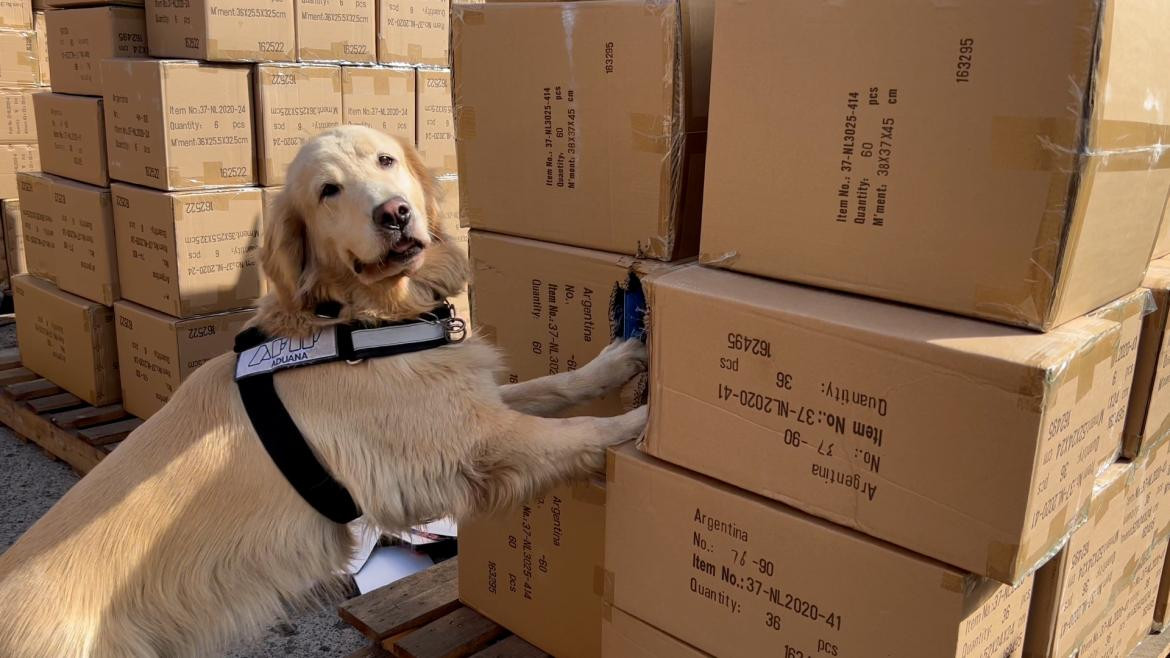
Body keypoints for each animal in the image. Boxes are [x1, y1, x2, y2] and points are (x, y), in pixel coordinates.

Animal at [0, 124, 645, 655]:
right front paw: (641, 430)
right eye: (328, 191)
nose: (394, 213)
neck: (357, 321)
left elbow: (555, 388)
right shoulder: (468, 447)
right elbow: (578, 431)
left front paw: (620, 361)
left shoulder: (464, 404)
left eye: (387, 159)